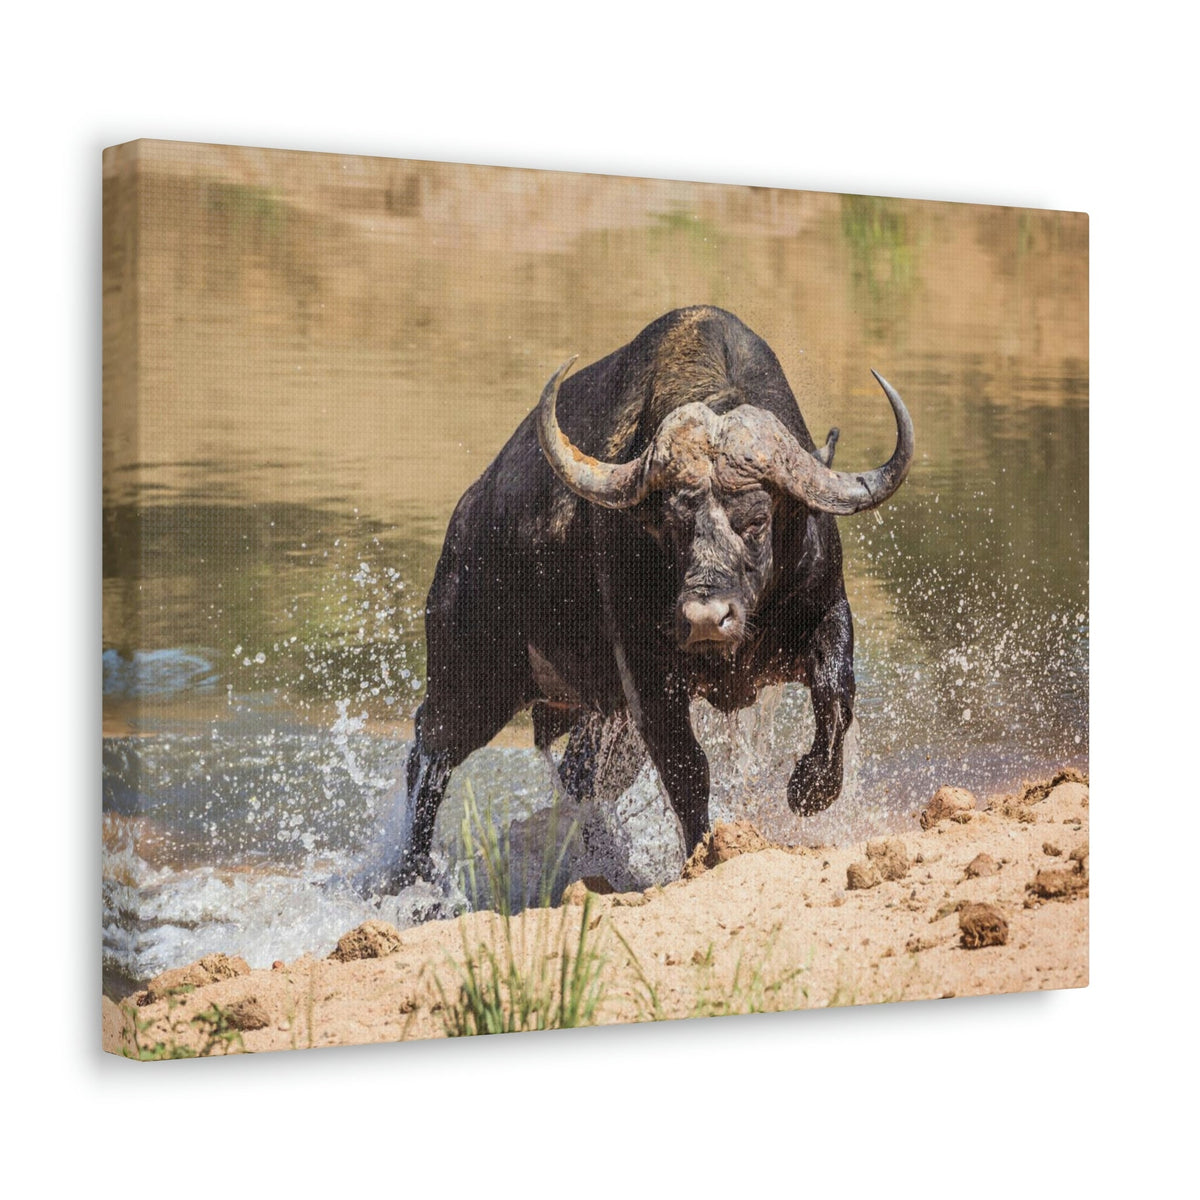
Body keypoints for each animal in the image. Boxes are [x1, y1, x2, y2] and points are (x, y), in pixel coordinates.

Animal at [391, 306, 913, 888]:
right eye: (672, 524)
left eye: (757, 519)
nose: (706, 618)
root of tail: (464, 522)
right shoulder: (646, 674)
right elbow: (687, 768)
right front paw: (704, 852)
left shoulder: (826, 610)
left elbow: (835, 694)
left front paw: (810, 788)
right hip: (471, 681)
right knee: (429, 754)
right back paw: (412, 878)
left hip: (596, 713)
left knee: (579, 776)